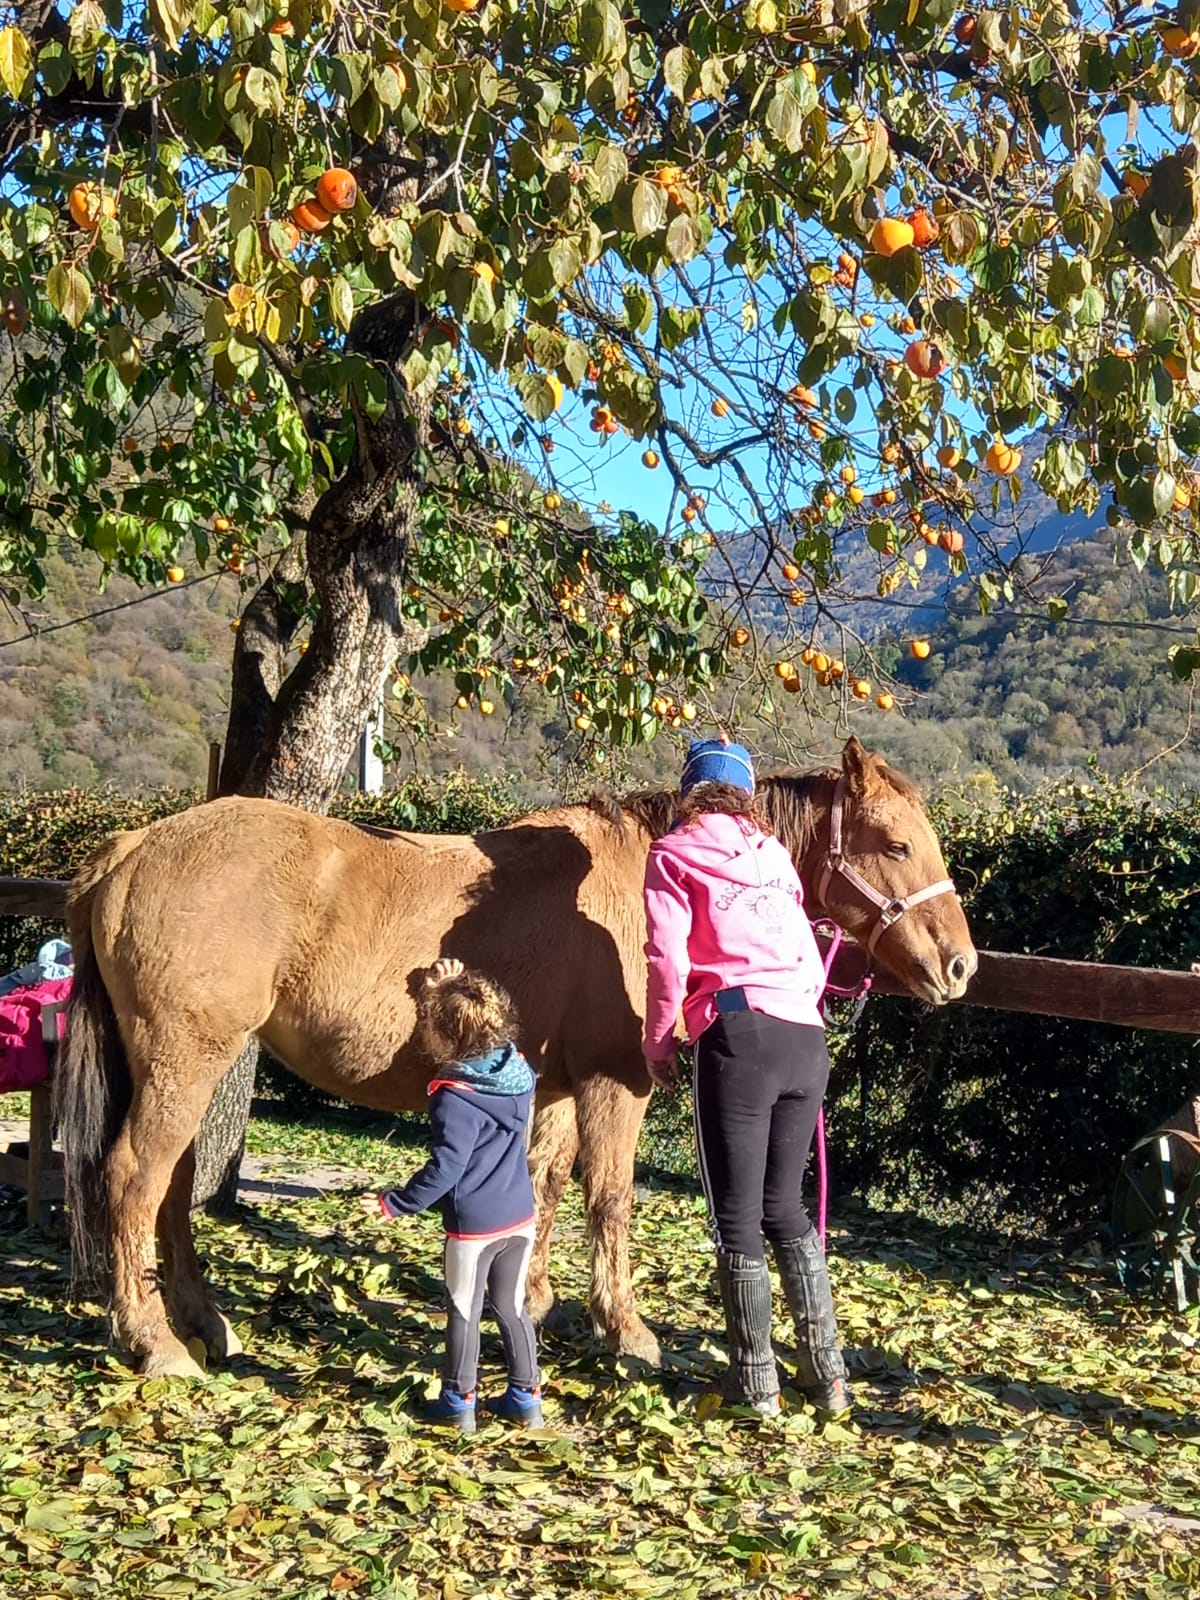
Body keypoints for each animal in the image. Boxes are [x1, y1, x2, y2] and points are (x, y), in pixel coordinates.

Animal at [56, 736, 977, 1379]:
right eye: (895, 844)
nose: (961, 966)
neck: (627, 882)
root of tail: (132, 847)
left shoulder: (559, 1089)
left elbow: (545, 1188)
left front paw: (530, 1304)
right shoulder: (616, 1082)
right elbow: (610, 1198)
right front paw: (627, 1330)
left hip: (179, 1067)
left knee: (170, 1186)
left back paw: (200, 1320)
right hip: (184, 1063)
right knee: (134, 1177)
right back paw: (154, 1342)